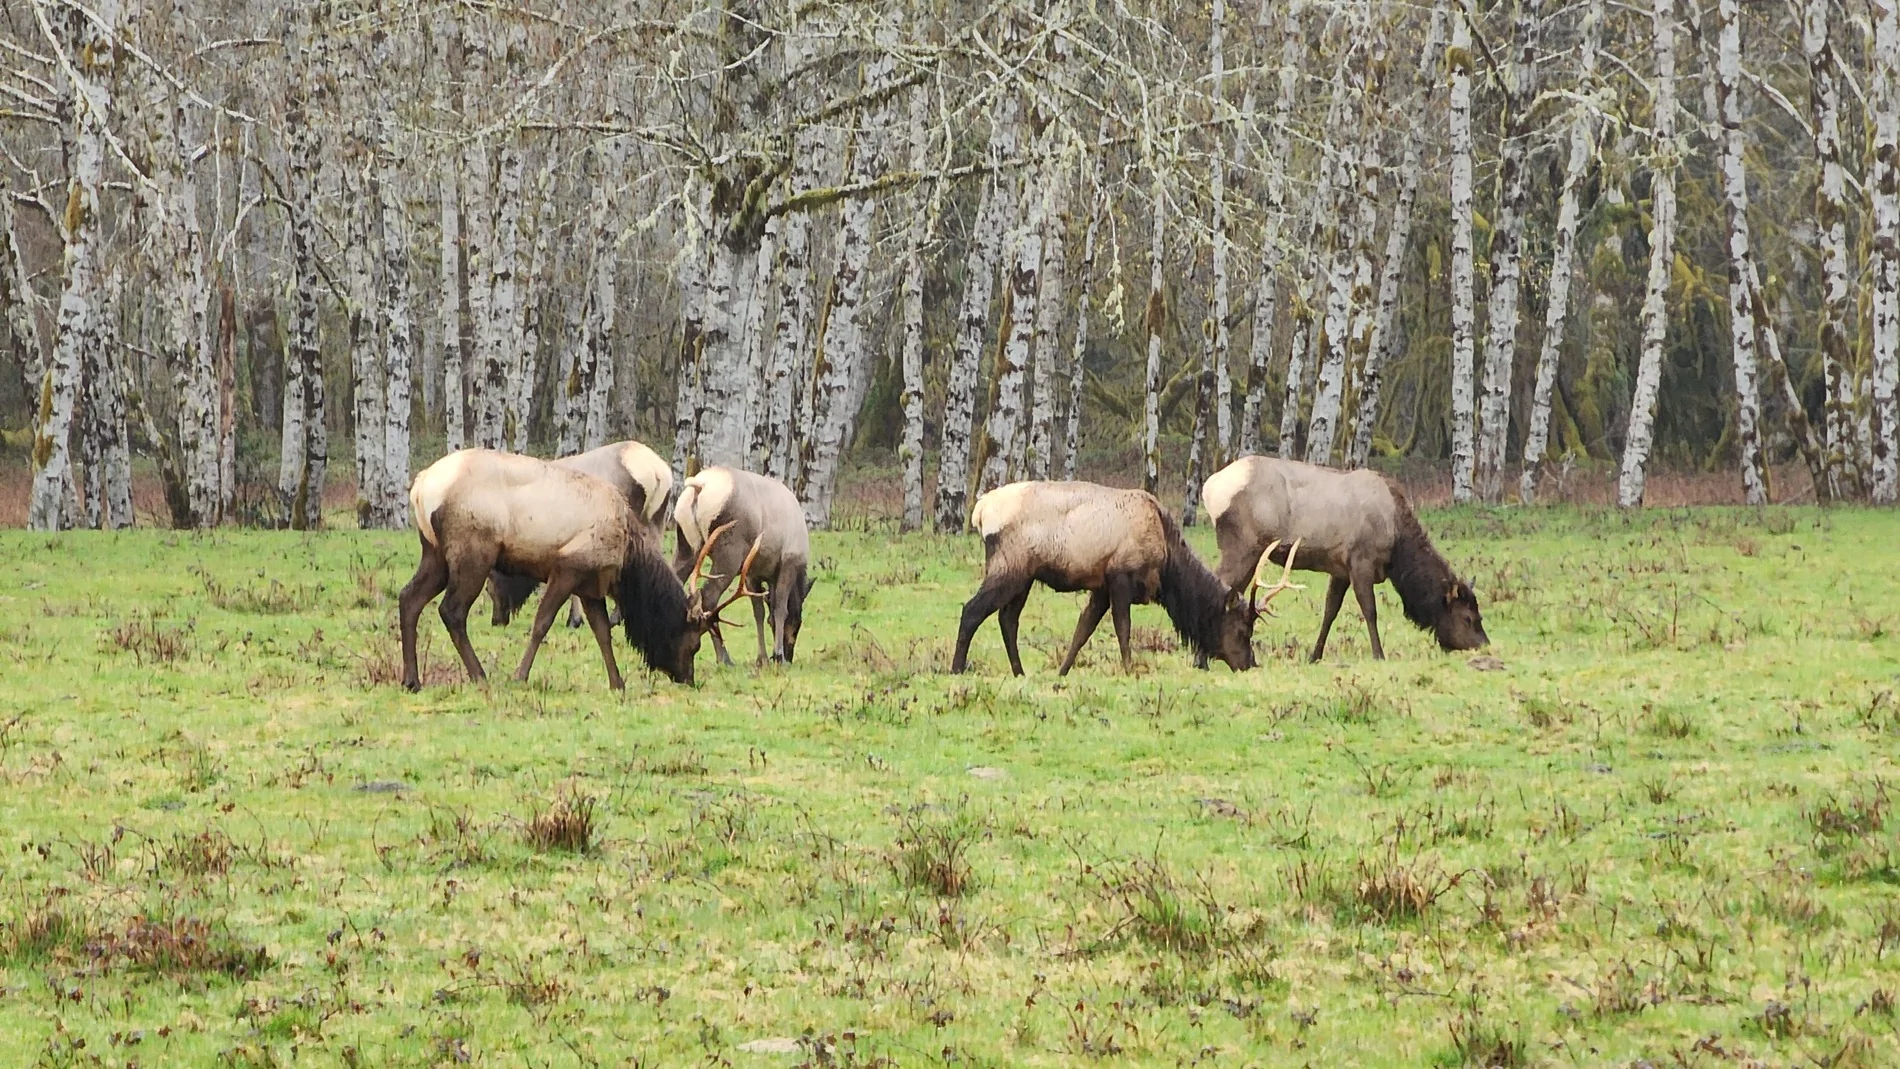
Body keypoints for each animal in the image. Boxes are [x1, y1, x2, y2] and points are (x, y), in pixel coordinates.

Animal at [487, 440, 674, 627]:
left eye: (490, 586)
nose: (496, 621)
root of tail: (657, 473)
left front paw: (574, 619)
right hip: (656, 521)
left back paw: (616, 617)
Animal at [670, 466, 813, 665]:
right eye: (798, 621)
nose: (789, 654)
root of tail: (698, 486)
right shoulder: (789, 562)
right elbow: (779, 609)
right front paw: (778, 657)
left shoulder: (753, 573)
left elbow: (759, 612)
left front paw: (762, 658)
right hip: (729, 554)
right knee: (709, 598)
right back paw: (724, 658)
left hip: (686, 545)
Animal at [950, 480, 1302, 676]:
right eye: (1241, 629)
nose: (1250, 663)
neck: (1167, 564)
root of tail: (980, 511)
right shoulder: (1120, 575)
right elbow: (1123, 628)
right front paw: (1130, 669)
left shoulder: (1101, 585)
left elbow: (1082, 629)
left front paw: (1062, 672)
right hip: (1010, 565)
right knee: (972, 610)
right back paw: (957, 668)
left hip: (1025, 576)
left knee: (1007, 619)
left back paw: (1019, 672)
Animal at [1202, 455, 1489, 663]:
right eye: (1468, 618)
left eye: (1480, 615)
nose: (1485, 645)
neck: (1397, 544)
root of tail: (1209, 488)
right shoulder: (1361, 560)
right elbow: (1370, 610)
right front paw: (1379, 654)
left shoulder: (1339, 568)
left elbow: (1330, 610)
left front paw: (1314, 655)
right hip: (1241, 547)